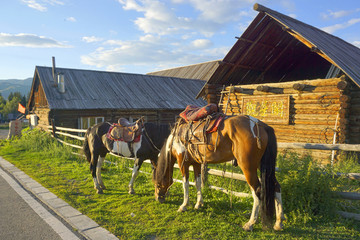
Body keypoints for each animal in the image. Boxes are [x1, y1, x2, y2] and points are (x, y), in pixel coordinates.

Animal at [152, 114, 284, 231]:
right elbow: (198, 183)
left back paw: (250, 223)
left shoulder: (182, 163)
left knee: (257, 190)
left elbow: (186, 184)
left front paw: (184, 205)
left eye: (157, 184)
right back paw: (278, 223)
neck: (177, 138)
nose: (158, 198)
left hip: (249, 168)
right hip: (263, 166)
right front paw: (198, 204)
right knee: (276, 186)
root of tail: (260, 125)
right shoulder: (196, 163)